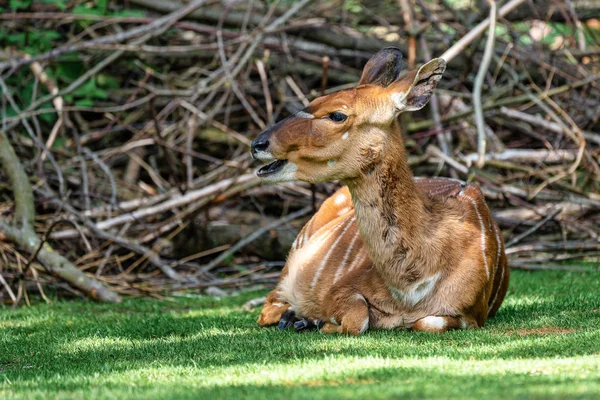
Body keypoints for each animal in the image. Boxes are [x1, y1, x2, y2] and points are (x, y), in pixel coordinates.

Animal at [251, 47, 508, 334]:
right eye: (316, 100)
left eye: (337, 114)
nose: (258, 144)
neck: (410, 289)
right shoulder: (340, 290)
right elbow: (357, 319)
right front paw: (318, 321)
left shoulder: (472, 314)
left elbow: (427, 322)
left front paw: (316, 321)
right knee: (268, 306)